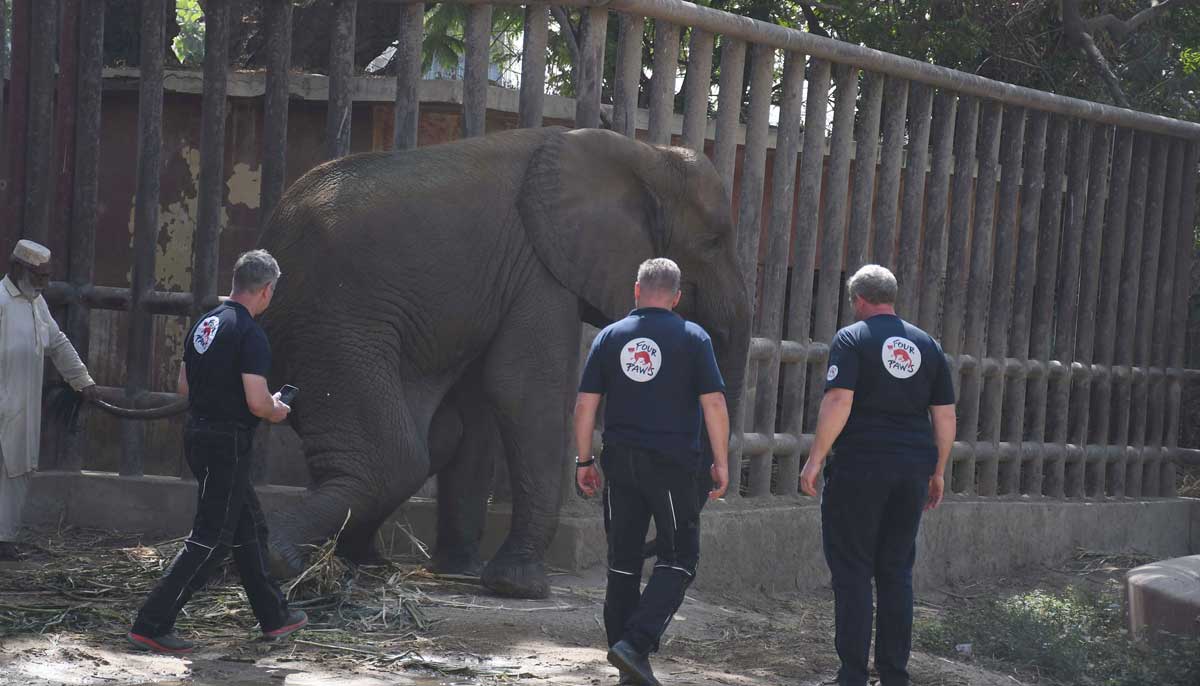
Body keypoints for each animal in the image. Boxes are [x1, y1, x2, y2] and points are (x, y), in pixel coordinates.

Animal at [258, 125, 748, 597]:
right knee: (394, 460)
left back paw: (361, 562)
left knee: (436, 439)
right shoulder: (538, 268)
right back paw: (284, 561)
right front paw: (520, 587)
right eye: (712, 242)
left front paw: (463, 571)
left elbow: (480, 405)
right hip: (335, 321)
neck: (643, 153)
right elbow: (524, 389)